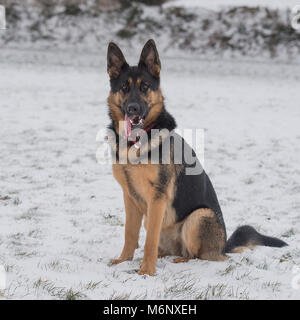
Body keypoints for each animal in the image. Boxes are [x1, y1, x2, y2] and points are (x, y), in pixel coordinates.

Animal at [106, 39, 288, 276]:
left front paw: (146, 272)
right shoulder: (130, 197)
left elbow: (149, 240)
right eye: (124, 88)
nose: (133, 109)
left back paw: (182, 260)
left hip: (198, 216)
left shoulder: (158, 198)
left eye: (145, 86)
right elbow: (130, 233)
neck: (136, 141)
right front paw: (124, 260)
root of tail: (223, 245)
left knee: (198, 255)